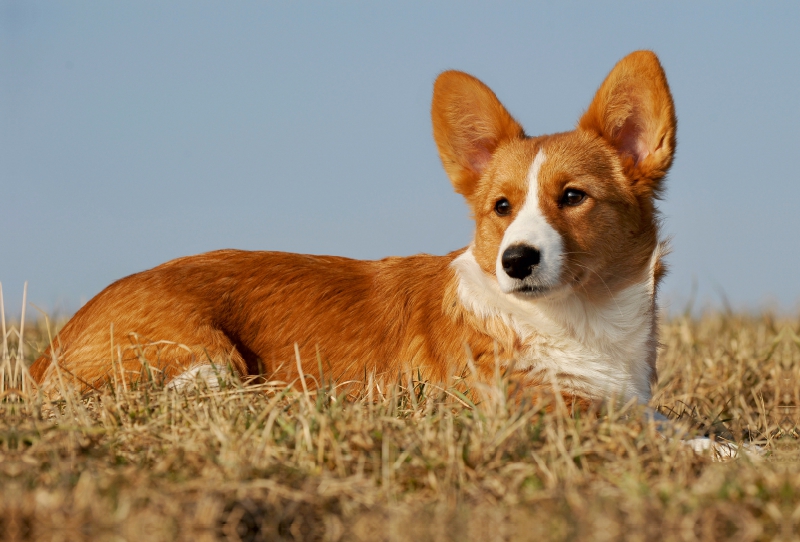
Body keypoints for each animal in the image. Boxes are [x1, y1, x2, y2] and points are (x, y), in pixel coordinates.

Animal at [34, 52, 680, 412]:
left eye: (572, 197)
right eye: (501, 207)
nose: (516, 260)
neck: (581, 319)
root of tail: (46, 358)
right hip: (211, 361)